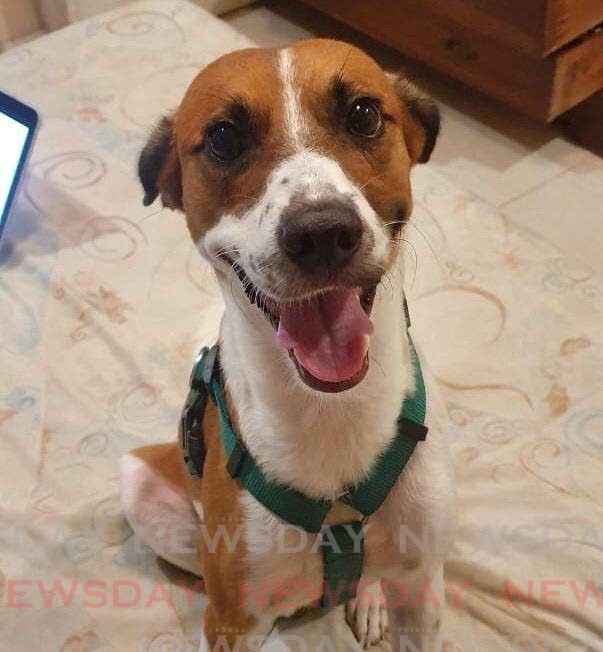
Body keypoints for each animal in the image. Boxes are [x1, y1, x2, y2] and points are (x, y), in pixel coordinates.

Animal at [121, 39, 452, 652]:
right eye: (224, 137)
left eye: (364, 114)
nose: (321, 232)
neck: (332, 410)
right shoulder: (231, 619)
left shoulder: (422, 589)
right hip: (141, 484)